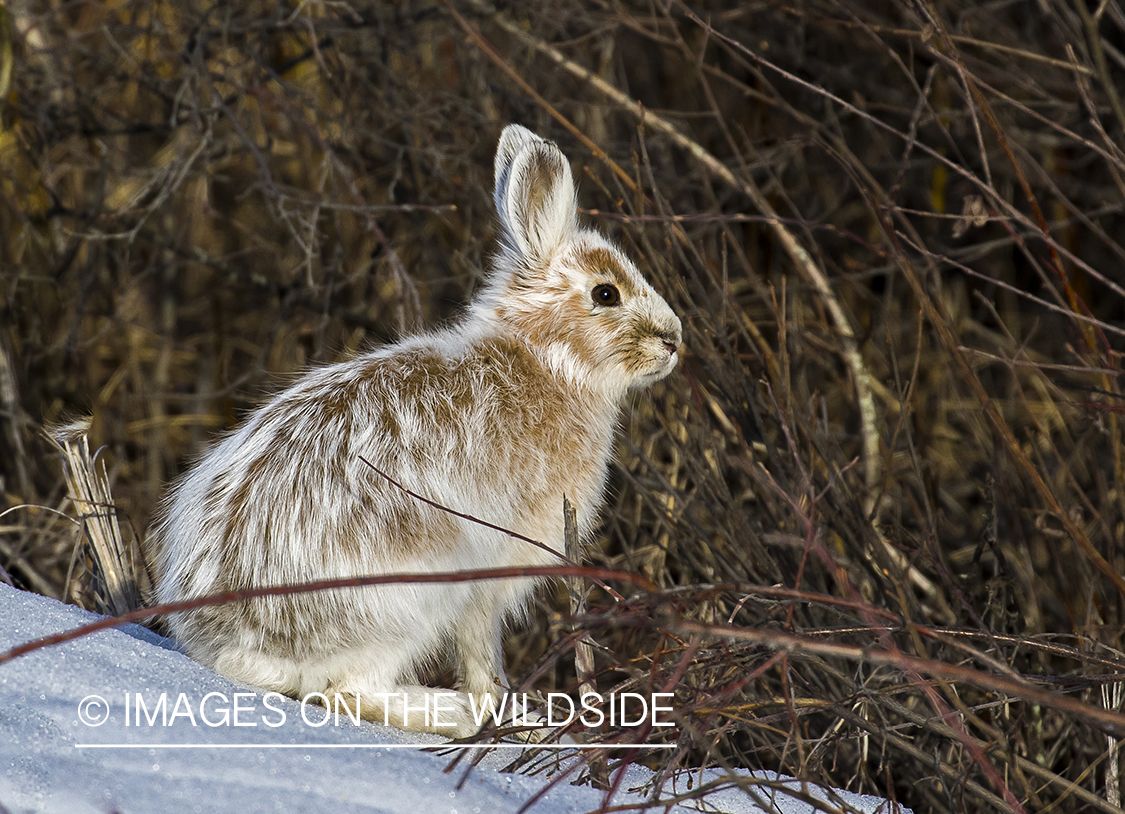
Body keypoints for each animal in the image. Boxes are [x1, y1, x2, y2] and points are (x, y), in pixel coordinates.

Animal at [147, 124, 682, 738]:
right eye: (605, 293)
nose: (674, 340)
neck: (545, 358)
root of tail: (238, 645)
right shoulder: (492, 574)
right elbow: (481, 654)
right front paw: (510, 714)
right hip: (409, 598)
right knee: (346, 693)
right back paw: (451, 715)